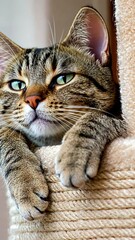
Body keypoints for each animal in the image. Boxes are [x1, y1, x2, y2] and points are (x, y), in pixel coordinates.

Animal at [0, 7, 126, 221]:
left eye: (63, 79)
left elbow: (93, 118)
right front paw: (25, 183)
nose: (32, 99)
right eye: (17, 85)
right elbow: (8, 139)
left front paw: (73, 155)